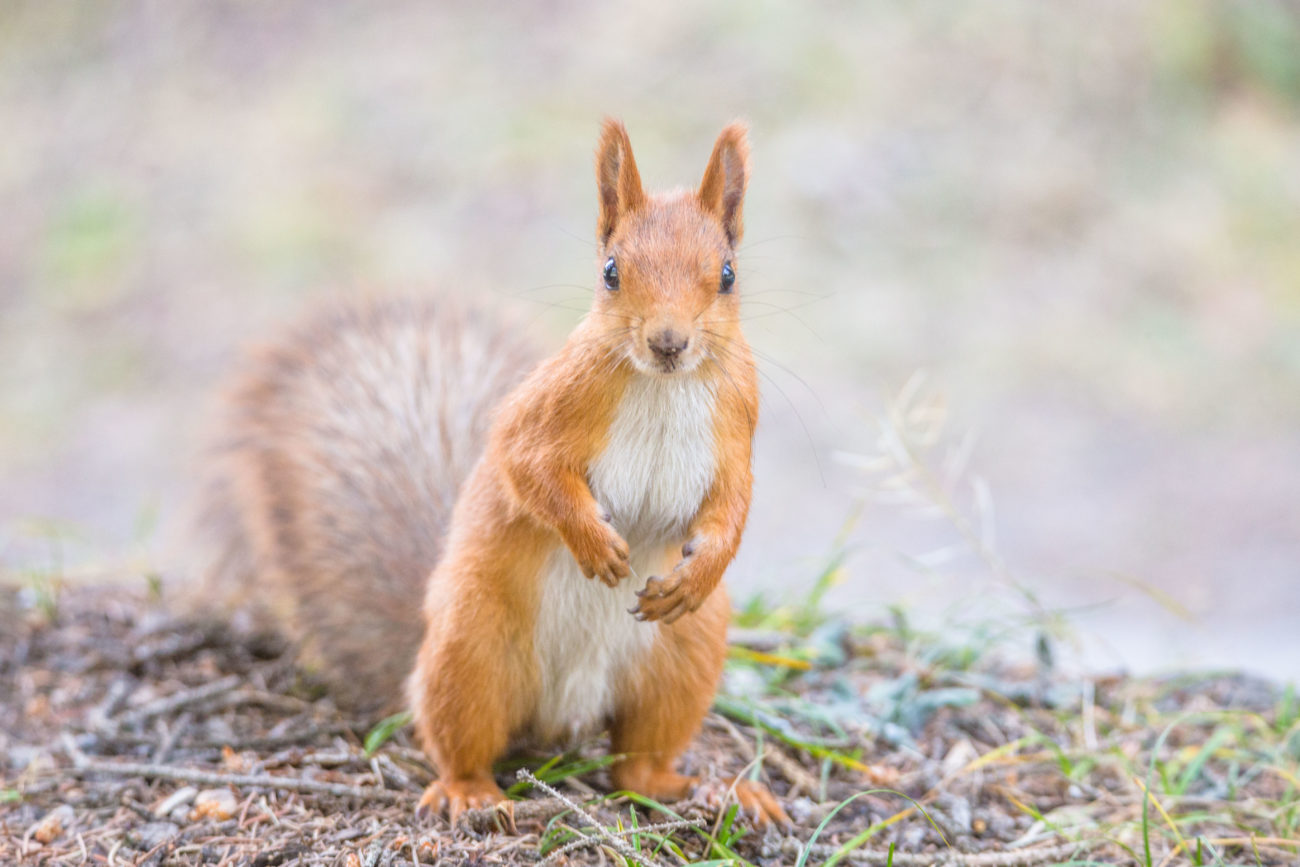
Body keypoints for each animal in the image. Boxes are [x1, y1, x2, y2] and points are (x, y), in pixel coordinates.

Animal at [202, 120, 780, 826]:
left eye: (726, 274)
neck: (664, 385)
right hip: (471, 650)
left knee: (636, 768)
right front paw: (595, 544)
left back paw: (714, 790)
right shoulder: (544, 413)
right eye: (611, 271)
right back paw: (469, 791)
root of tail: (560, 718)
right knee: (461, 741)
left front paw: (699, 570)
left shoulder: (736, 429)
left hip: (683, 657)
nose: (668, 342)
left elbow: (733, 507)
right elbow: (526, 470)